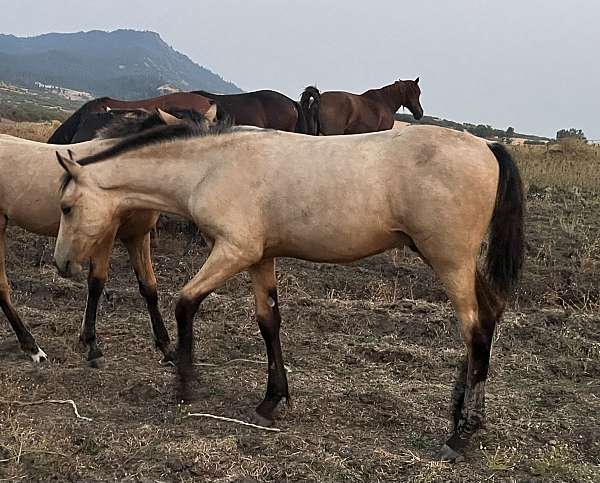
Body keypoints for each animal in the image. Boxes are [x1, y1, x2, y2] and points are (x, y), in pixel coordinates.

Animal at [0, 108, 216, 364]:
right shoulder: (106, 235)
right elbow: (97, 281)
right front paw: (91, 344)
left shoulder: (138, 235)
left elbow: (149, 286)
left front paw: (167, 347)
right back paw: (33, 348)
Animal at [56, 118, 524, 462]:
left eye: (67, 207)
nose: (62, 264)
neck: (213, 165)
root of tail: (487, 146)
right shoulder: (260, 258)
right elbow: (269, 322)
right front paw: (271, 401)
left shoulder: (234, 251)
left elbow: (185, 303)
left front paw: (185, 385)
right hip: (457, 264)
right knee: (489, 314)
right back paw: (459, 416)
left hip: (449, 262)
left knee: (474, 330)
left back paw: (460, 436)